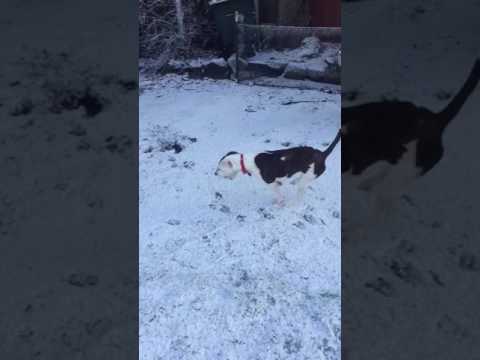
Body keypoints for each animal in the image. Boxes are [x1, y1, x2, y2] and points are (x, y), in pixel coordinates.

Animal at [214, 131, 342, 207]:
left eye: (219, 169)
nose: (214, 173)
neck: (248, 161)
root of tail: (322, 154)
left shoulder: (271, 183)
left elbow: (279, 195)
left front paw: (279, 203)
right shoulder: (276, 183)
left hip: (306, 178)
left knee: (300, 195)